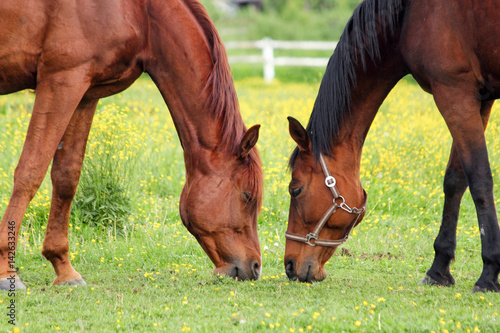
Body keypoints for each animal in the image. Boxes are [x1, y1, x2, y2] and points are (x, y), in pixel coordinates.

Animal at [0, 0, 264, 288]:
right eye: (247, 196)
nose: (255, 267)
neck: (142, 14)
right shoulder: (61, 81)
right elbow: (30, 172)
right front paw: (6, 270)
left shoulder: (85, 93)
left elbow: (66, 177)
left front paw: (64, 269)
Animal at [286, 0, 500, 290]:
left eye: (295, 190)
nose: (289, 266)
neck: (407, 16)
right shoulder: (479, 99)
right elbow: (455, 181)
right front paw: (439, 268)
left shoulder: (455, 92)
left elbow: (479, 180)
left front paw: (488, 273)